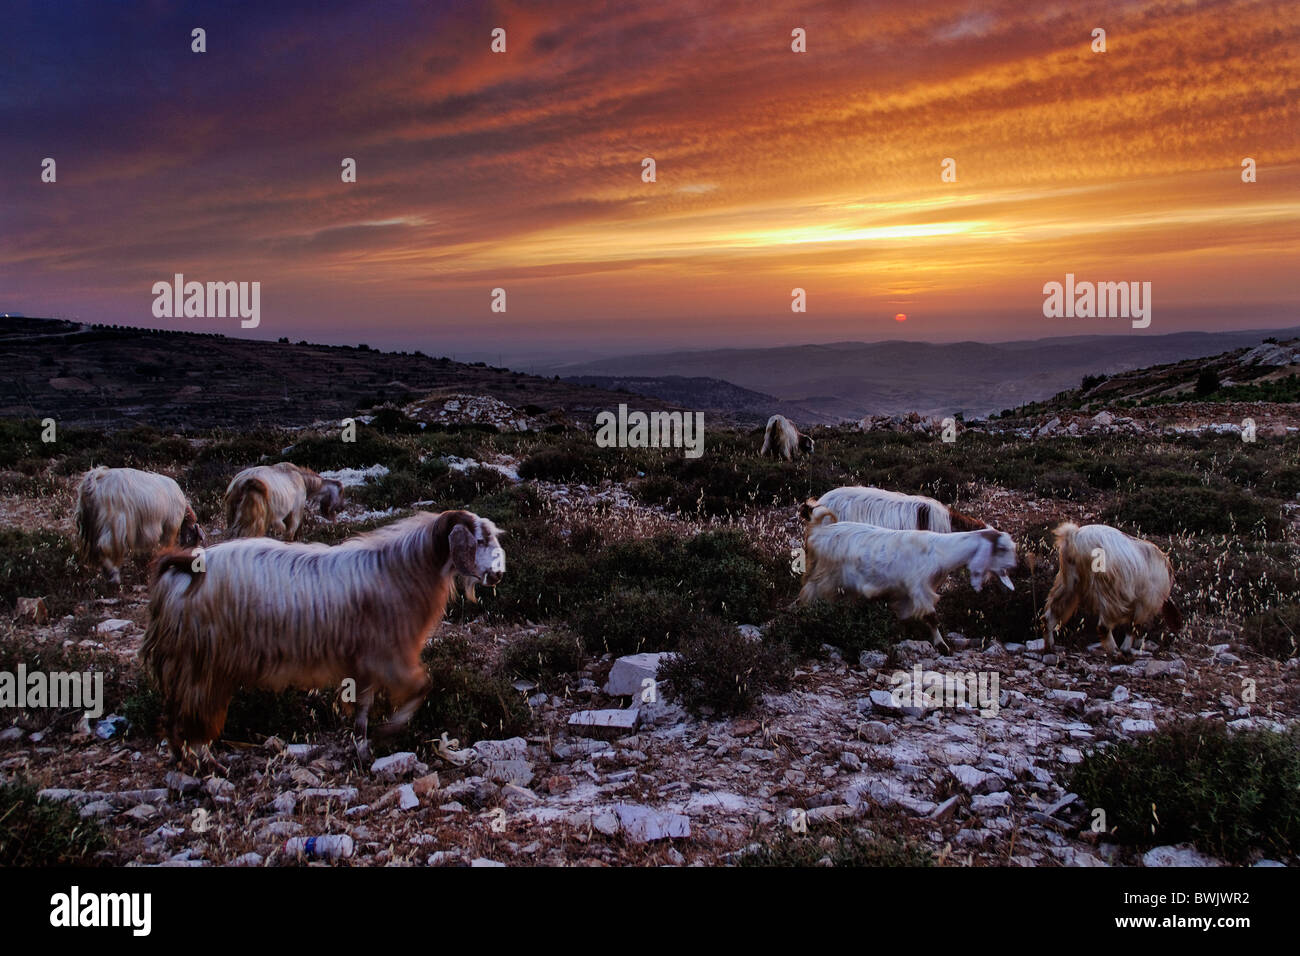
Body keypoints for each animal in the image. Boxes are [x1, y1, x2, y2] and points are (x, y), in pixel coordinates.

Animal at [142, 512, 504, 759]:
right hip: (200, 658)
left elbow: (363, 708)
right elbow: (421, 687)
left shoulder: (365, 662)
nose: (498, 575)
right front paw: (387, 731)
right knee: (189, 709)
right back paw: (198, 759)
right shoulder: (387, 656)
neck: (401, 569)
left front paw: (363, 747)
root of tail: (183, 567)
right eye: (479, 540)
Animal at [795, 504, 1019, 647]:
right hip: (825, 576)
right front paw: (942, 646)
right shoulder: (918, 587)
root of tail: (818, 532)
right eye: (1002, 549)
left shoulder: (905, 593)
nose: (1014, 566)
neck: (941, 551)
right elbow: (931, 617)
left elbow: (904, 616)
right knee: (808, 594)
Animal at [1040, 522, 1185, 658]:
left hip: (1069, 582)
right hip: (1111, 591)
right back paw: (1115, 652)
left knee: (1050, 615)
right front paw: (1126, 649)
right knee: (1104, 626)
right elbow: (1134, 627)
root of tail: (1074, 537)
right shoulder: (1145, 601)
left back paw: (1050, 646)